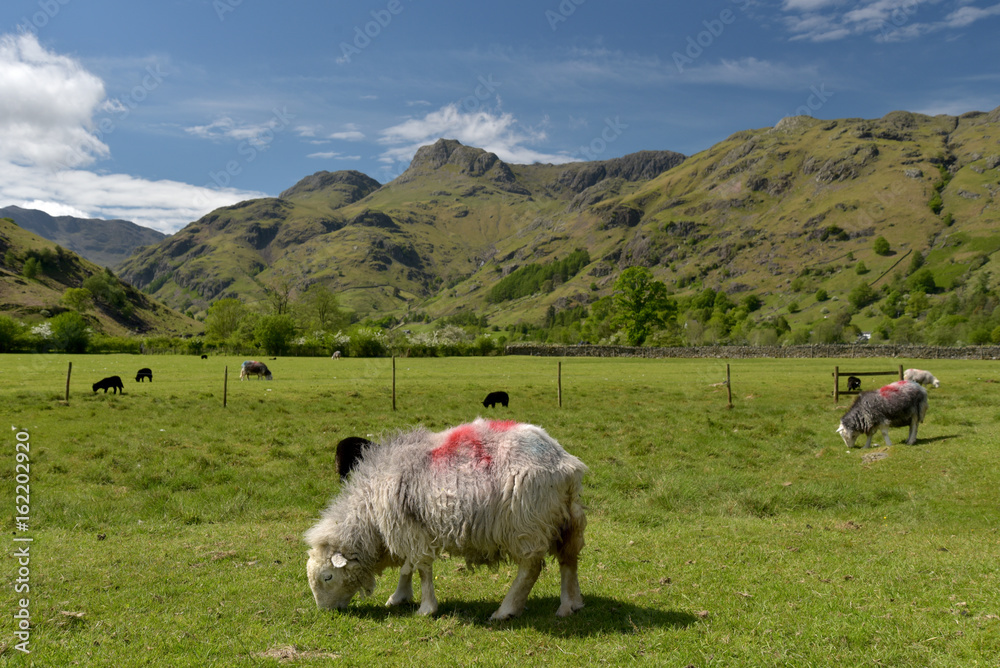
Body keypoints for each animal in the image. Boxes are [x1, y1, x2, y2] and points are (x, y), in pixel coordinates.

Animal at [305, 418, 588, 621]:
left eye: (327, 577)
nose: (325, 612)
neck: (369, 515)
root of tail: (564, 463)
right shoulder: (411, 527)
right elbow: (408, 566)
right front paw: (399, 597)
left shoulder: (409, 528)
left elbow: (421, 568)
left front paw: (426, 608)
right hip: (568, 520)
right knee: (569, 560)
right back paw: (570, 605)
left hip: (525, 524)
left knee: (530, 568)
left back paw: (505, 610)